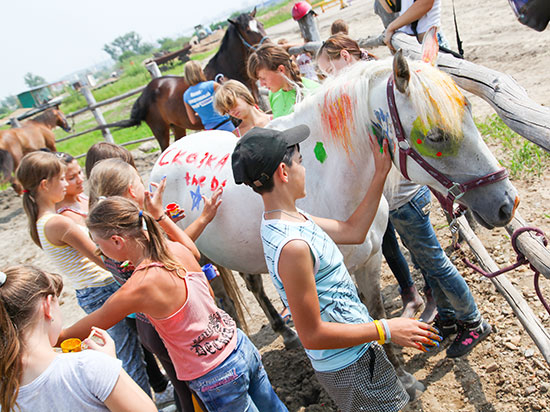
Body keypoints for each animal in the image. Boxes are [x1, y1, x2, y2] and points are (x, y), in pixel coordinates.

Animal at [105, 9, 270, 151]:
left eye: (261, 24)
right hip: (161, 131)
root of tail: (144, 94)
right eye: (248, 30)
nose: (268, 48)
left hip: (177, 127)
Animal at [152, 45, 520, 396]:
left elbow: (376, 314)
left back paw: (286, 333)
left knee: (253, 285)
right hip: (197, 256)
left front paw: (404, 380)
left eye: (469, 111)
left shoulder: (370, 260)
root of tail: (165, 157)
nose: (507, 203)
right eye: (435, 136)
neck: (328, 179)